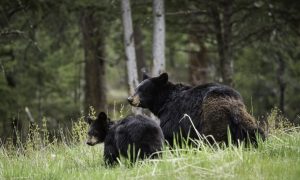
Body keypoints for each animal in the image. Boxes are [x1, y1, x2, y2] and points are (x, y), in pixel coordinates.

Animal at [126, 72, 264, 147]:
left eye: (142, 90)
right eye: (136, 88)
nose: (130, 99)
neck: (164, 102)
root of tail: (232, 106)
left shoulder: (174, 114)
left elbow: (170, 134)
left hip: (213, 119)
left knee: (213, 139)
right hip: (244, 120)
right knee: (255, 132)